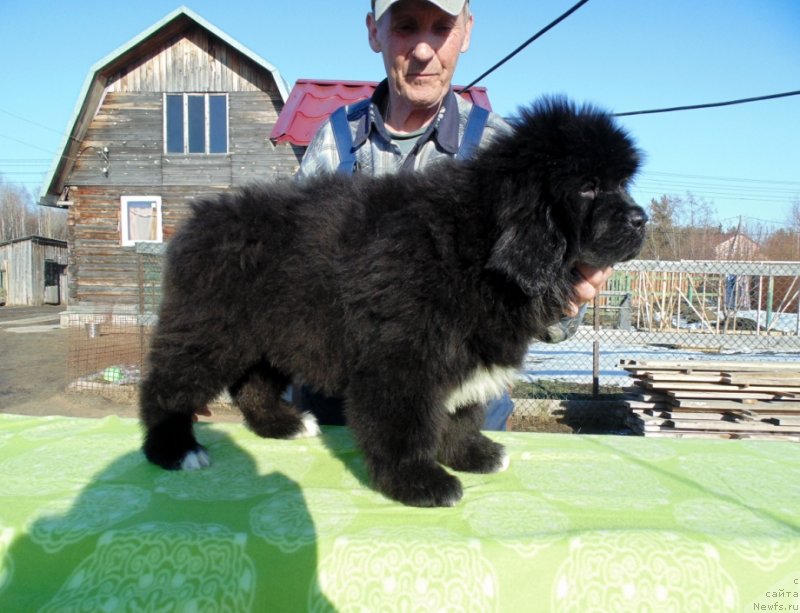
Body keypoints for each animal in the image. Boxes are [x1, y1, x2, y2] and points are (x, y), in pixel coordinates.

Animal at [141, 97, 648, 506]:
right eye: (587, 186)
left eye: (622, 183)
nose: (641, 219)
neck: (478, 241)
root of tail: (200, 219)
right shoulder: (401, 358)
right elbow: (404, 425)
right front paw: (417, 481)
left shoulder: (467, 353)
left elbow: (461, 414)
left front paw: (470, 453)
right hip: (208, 330)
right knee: (167, 387)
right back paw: (174, 449)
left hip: (270, 333)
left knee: (254, 385)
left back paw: (281, 425)